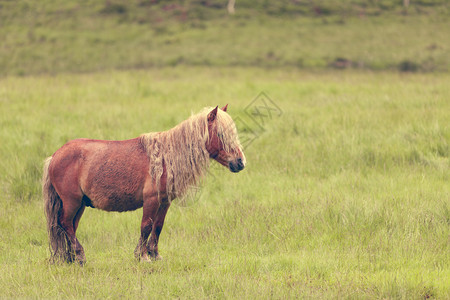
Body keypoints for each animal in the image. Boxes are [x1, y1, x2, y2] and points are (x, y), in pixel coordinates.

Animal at [42, 105, 246, 264]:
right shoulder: (151, 200)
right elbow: (146, 226)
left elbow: (158, 226)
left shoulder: (165, 202)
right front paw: (142, 257)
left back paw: (71, 258)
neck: (166, 157)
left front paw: (155, 255)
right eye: (220, 134)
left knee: (70, 226)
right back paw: (80, 256)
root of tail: (55, 156)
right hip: (72, 202)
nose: (240, 162)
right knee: (65, 223)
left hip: (80, 204)